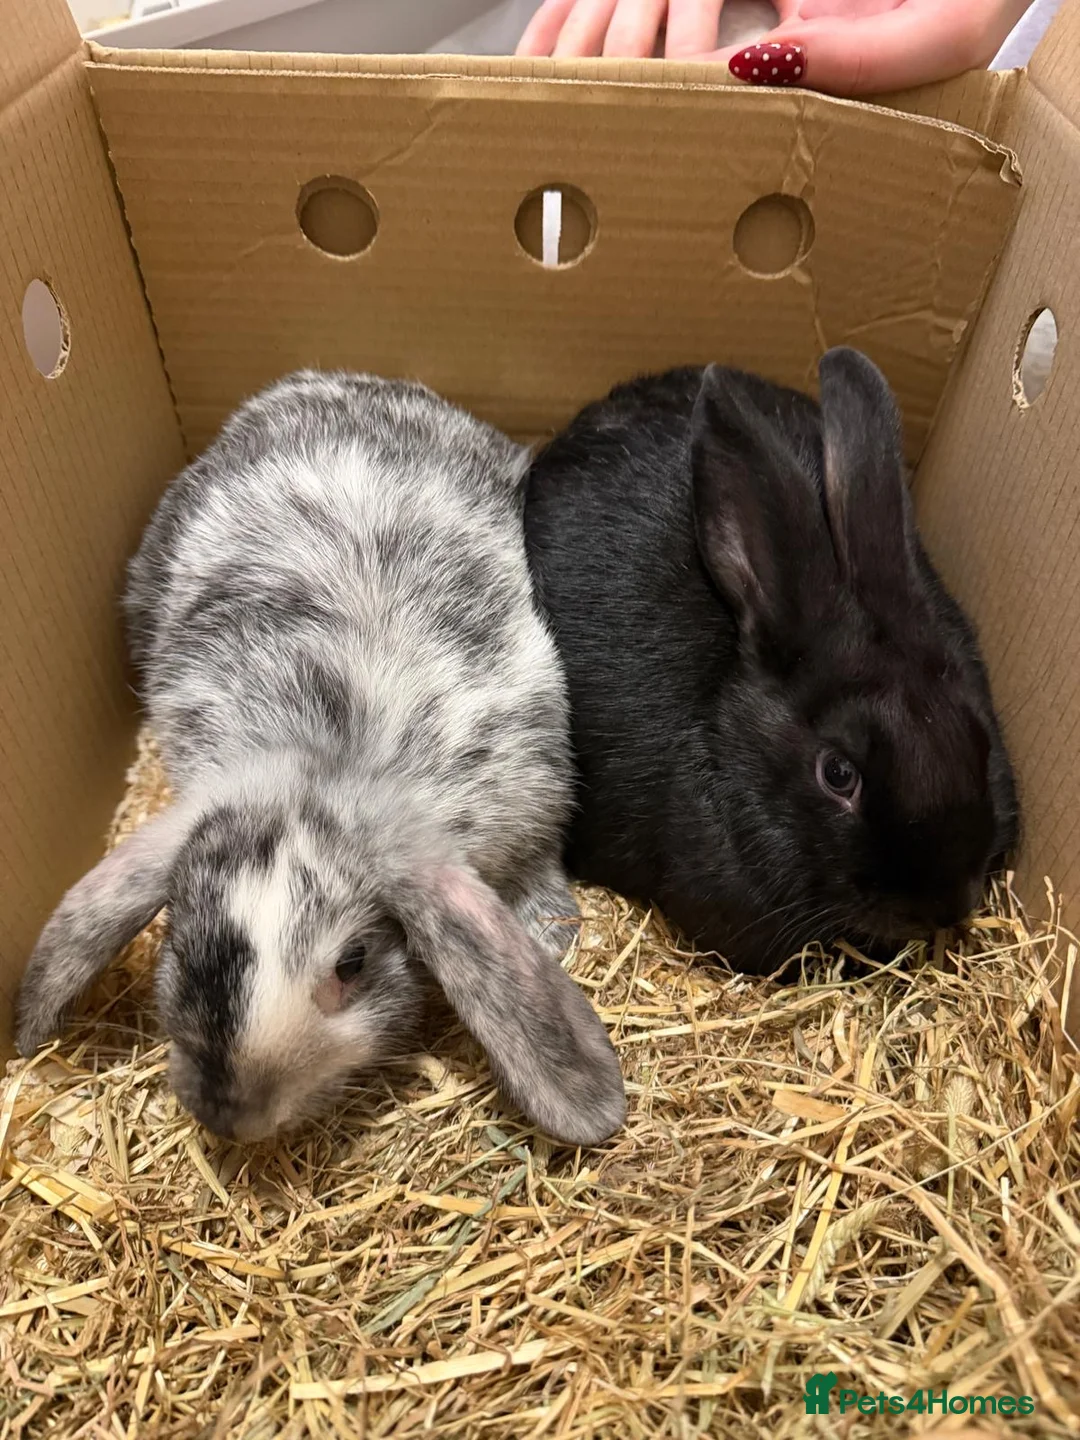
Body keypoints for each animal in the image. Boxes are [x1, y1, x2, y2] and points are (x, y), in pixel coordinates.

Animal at [16, 370, 626, 1148]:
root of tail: (321, 380)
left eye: (352, 963)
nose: (228, 1114)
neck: (327, 760)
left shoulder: (530, 798)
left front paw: (551, 930)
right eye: (179, 938)